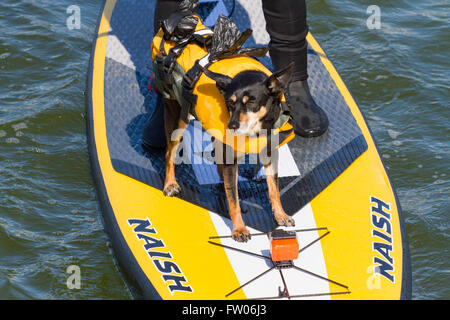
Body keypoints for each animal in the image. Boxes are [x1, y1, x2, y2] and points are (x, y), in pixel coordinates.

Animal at [162, 62, 296, 242]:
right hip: (178, 120)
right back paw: (170, 184)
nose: (231, 125)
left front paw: (281, 215)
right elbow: (234, 199)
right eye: (230, 103)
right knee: (169, 153)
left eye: (252, 102)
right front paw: (239, 229)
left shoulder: (270, 154)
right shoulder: (231, 161)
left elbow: (274, 189)